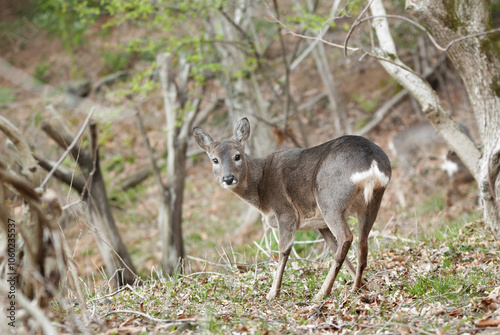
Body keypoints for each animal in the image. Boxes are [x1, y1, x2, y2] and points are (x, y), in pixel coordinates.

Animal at [193, 119, 392, 302]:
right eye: (215, 160)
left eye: (237, 156)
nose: (228, 178)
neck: (261, 191)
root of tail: (372, 163)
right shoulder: (318, 223)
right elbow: (332, 246)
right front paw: (364, 283)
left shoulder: (285, 212)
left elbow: (283, 250)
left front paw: (272, 293)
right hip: (372, 201)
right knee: (361, 244)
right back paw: (356, 288)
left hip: (329, 199)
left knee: (346, 237)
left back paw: (321, 293)